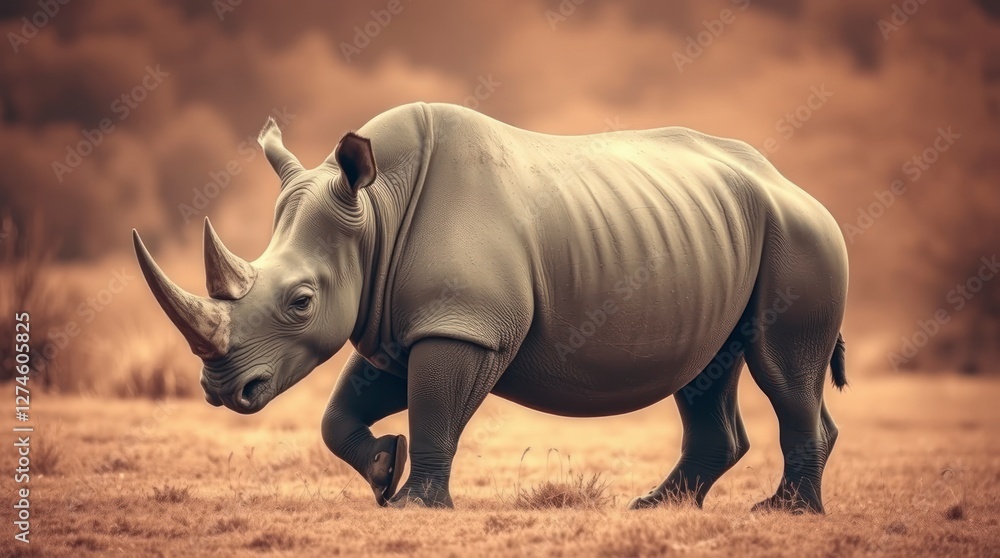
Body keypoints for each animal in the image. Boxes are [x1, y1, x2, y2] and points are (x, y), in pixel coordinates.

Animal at [133, 102, 848, 513]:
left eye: (301, 301)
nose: (221, 390)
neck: (377, 212)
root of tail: (795, 185)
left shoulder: (464, 325)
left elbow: (436, 411)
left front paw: (414, 506)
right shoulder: (405, 322)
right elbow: (341, 414)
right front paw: (382, 470)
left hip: (802, 237)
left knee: (781, 369)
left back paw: (782, 513)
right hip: (716, 236)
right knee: (707, 368)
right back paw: (658, 507)